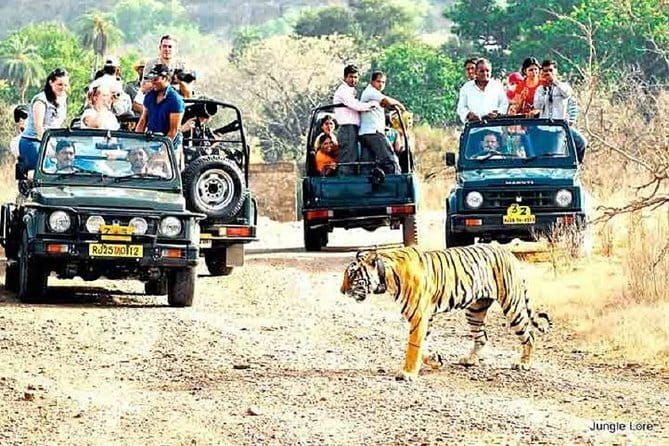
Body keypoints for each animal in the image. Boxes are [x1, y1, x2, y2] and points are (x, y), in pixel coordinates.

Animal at [340, 244, 552, 381]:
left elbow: (413, 346)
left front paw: (407, 373)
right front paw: (436, 360)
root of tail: (508, 252)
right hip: (475, 310)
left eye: (352, 275)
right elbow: (423, 346)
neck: (387, 276)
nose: (341, 291)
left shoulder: (419, 316)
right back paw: (470, 360)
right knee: (482, 337)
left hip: (512, 305)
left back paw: (523, 363)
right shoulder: (425, 317)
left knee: (529, 335)